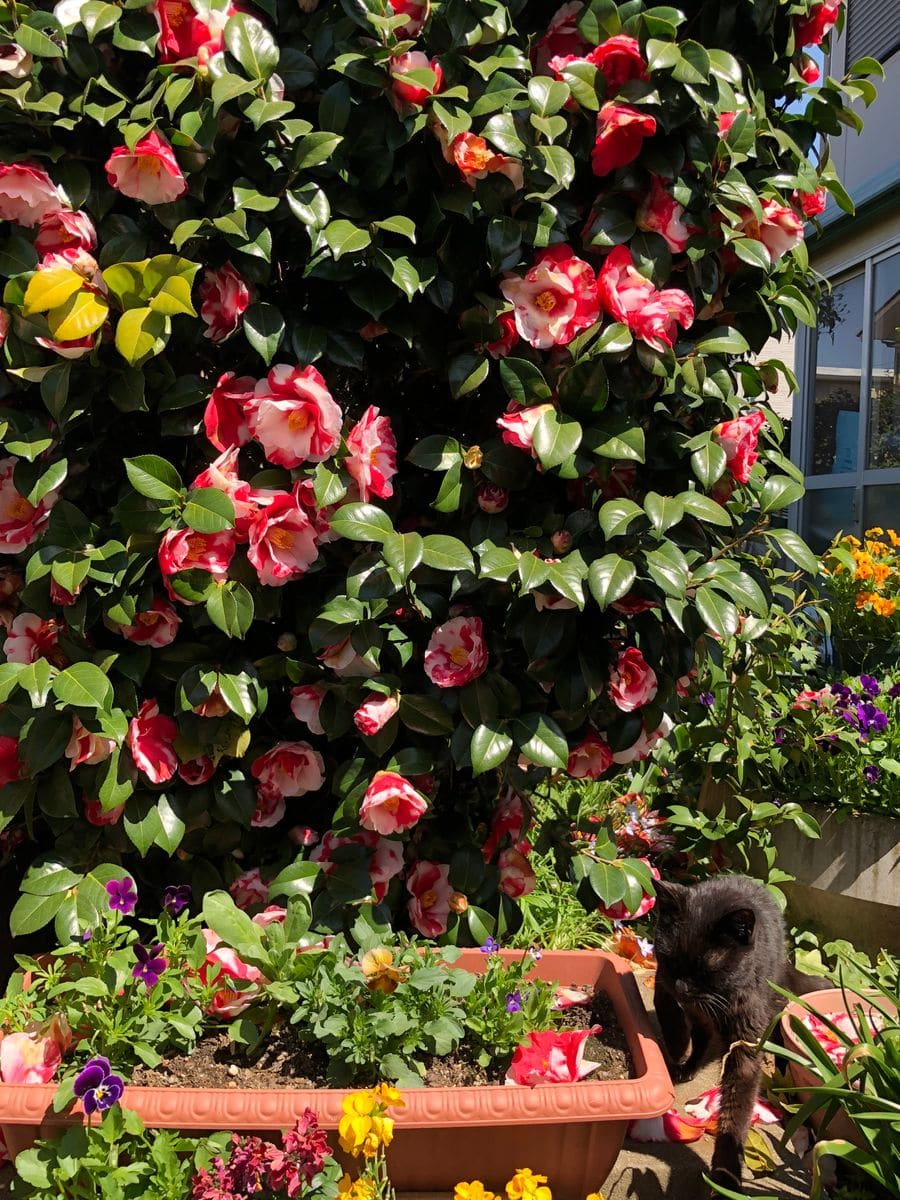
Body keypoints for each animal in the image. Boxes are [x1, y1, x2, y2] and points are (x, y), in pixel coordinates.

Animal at [652, 873, 830, 1190]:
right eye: (670, 958)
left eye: (706, 970)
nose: (683, 987)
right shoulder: (664, 978)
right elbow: (664, 1002)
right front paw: (676, 1045)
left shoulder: (744, 1038)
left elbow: (736, 1108)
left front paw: (725, 1179)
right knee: (701, 1035)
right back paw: (689, 1065)